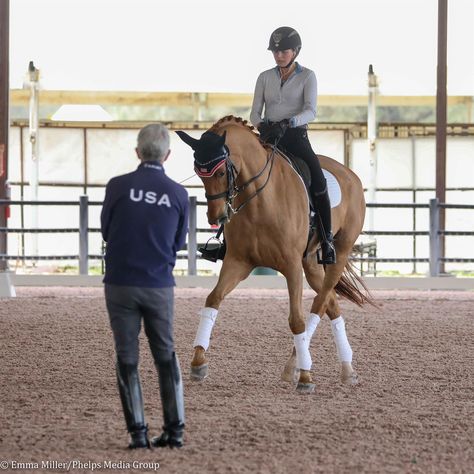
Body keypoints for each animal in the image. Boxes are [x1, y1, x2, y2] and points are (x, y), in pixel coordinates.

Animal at [178, 115, 374, 392]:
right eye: (198, 172)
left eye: (220, 171)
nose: (216, 217)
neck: (260, 200)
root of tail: (351, 175)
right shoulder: (238, 262)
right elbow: (213, 299)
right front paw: (198, 363)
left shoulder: (291, 266)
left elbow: (297, 320)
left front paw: (306, 377)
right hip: (311, 264)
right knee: (331, 304)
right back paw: (345, 369)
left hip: (340, 252)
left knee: (318, 304)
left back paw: (297, 366)